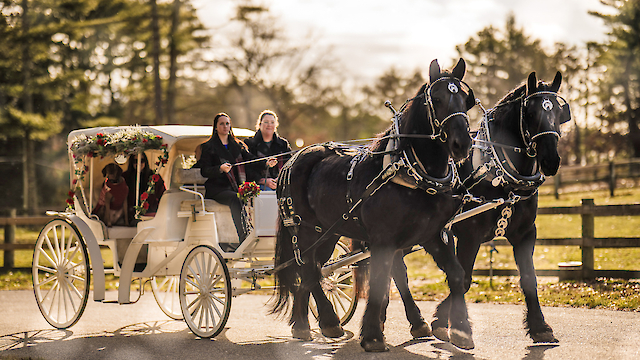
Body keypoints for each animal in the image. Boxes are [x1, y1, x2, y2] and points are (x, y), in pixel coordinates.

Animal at [270, 58, 476, 352]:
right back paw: (329, 322)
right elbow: (380, 282)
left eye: (465, 100)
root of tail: (292, 159)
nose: (463, 144)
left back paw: (302, 324)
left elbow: (456, 275)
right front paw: (373, 337)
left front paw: (460, 330)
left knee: (312, 268)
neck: (411, 172)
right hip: (306, 229)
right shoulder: (383, 239)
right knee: (309, 268)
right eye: (436, 99)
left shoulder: (434, 234)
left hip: (328, 233)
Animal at [396, 70, 568, 344]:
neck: (496, 167)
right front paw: (451, 324)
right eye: (531, 113)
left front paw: (540, 326)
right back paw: (416, 321)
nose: (551, 160)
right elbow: (463, 279)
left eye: (560, 113)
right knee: (396, 270)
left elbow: (529, 279)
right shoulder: (469, 235)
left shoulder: (525, 233)